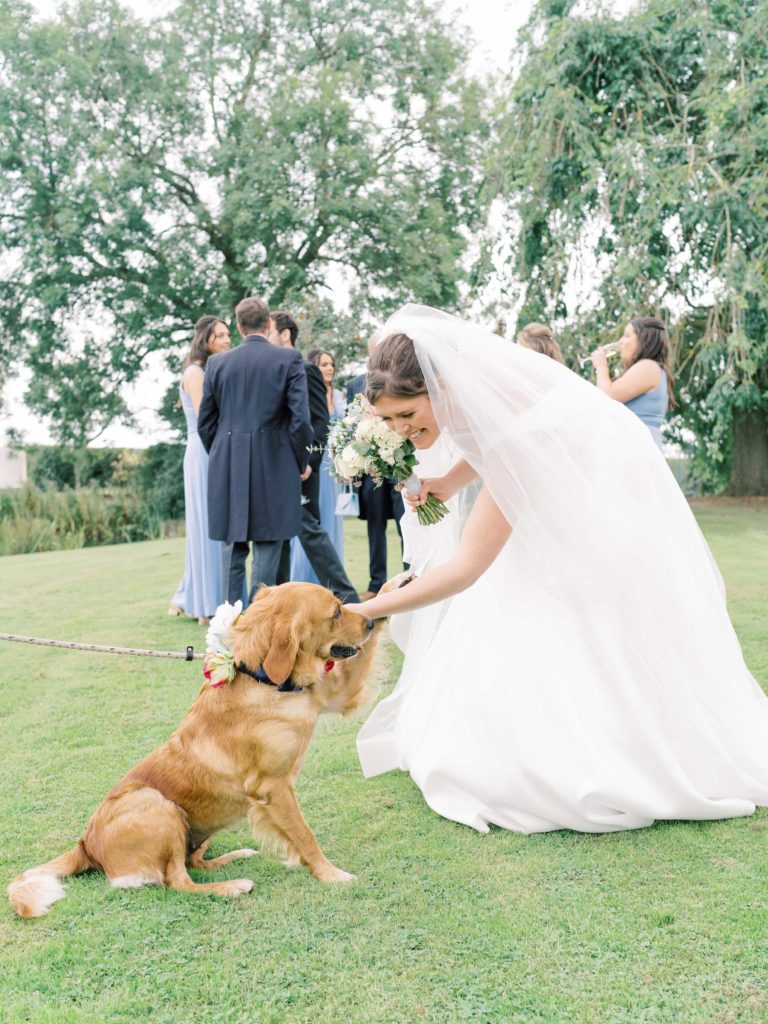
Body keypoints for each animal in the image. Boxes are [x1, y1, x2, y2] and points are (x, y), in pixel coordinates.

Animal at [8, 585, 387, 921]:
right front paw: (332, 874)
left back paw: (234, 857)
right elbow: (306, 838)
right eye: (336, 611)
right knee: (178, 881)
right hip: (158, 805)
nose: (369, 621)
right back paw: (232, 886)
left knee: (194, 864)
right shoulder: (274, 788)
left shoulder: (336, 693)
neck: (262, 679)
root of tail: (85, 845)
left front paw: (392, 590)